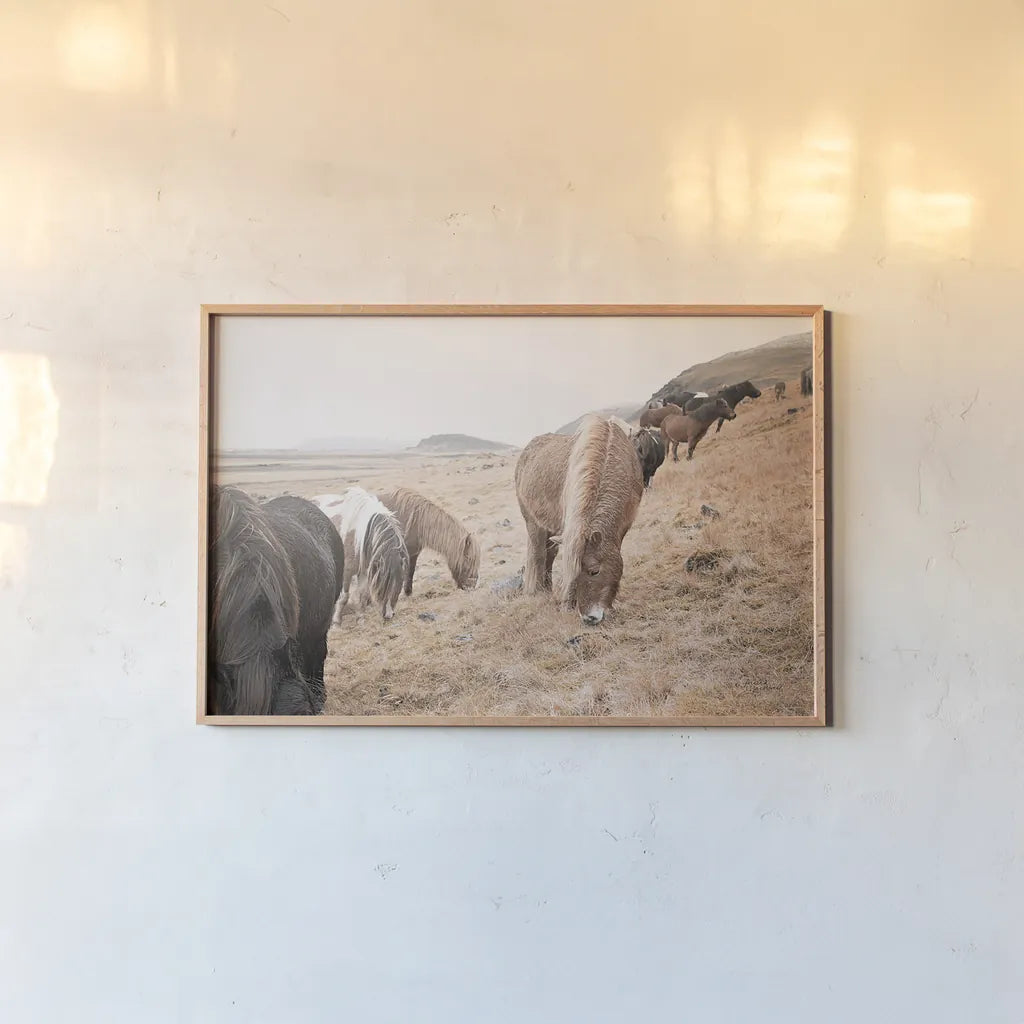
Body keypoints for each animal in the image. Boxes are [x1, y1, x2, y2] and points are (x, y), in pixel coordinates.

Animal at [313, 488, 410, 621]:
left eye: (400, 583)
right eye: (384, 583)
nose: (389, 615)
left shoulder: (363, 571)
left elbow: (362, 594)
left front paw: (361, 617)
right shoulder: (346, 572)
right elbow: (344, 597)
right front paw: (336, 621)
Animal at [515, 415, 643, 625]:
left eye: (594, 571)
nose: (589, 618)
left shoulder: (623, 527)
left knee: (549, 555)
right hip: (534, 524)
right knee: (538, 555)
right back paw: (539, 592)